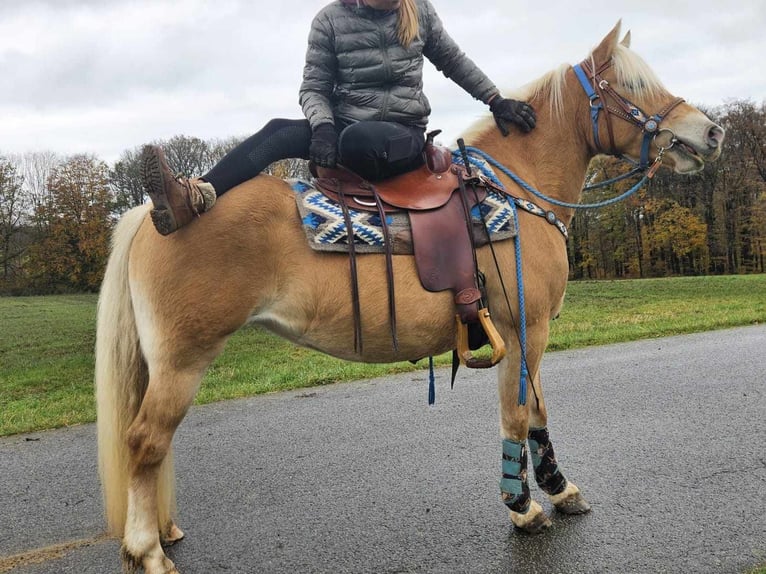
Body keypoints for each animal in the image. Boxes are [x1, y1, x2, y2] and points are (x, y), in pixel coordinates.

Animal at [94, 23, 728, 574]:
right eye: (634, 86)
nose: (713, 132)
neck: (515, 187)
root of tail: (152, 213)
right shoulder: (523, 329)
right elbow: (517, 415)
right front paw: (522, 508)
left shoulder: (531, 332)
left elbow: (540, 412)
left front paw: (560, 489)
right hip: (183, 360)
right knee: (146, 442)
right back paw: (148, 551)